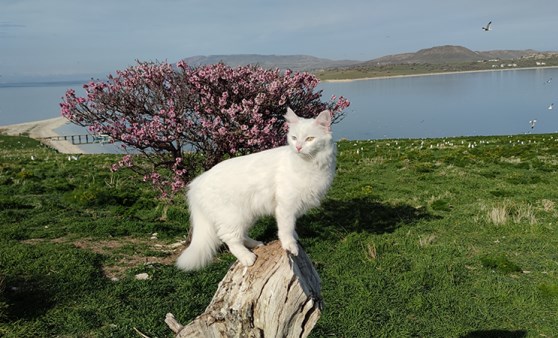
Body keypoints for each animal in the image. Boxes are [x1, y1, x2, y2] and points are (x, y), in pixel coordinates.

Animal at [176, 107, 336, 270]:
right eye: (294, 138)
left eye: (310, 139)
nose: (298, 147)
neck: (310, 163)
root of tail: (198, 181)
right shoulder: (286, 205)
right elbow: (286, 228)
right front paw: (290, 245)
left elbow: (292, 227)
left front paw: (295, 237)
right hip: (233, 216)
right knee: (230, 239)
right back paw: (247, 257)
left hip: (247, 214)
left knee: (241, 236)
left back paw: (256, 244)